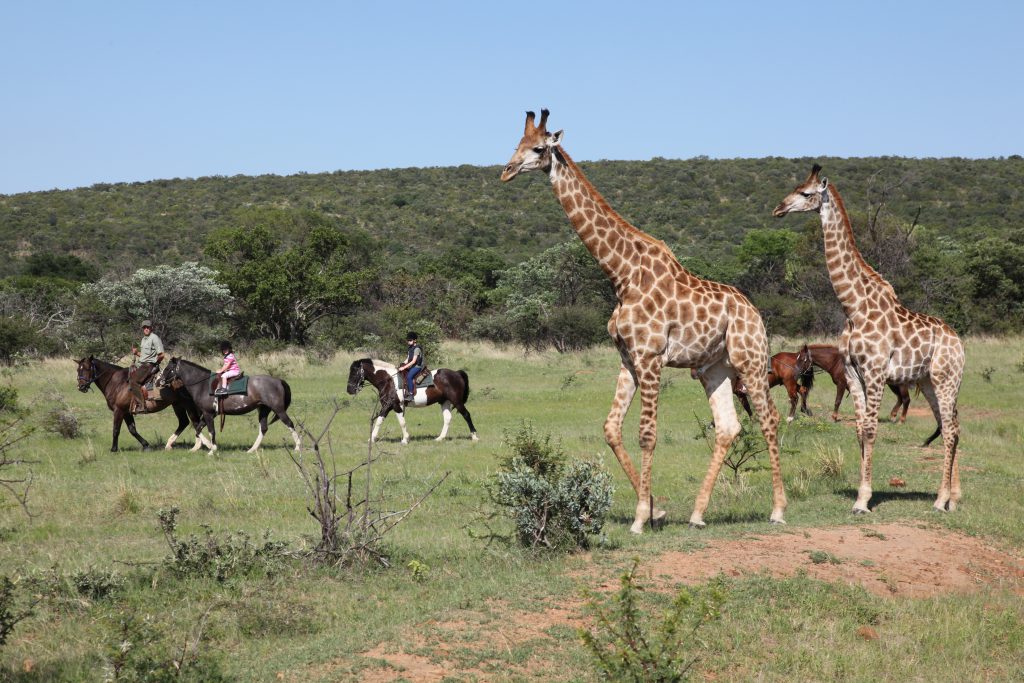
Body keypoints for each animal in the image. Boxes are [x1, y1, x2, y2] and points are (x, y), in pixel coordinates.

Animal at [501, 109, 786, 532]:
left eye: (537, 149)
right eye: (515, 144)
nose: (505, 171)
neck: (622, 274)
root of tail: (754, 311)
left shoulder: (651, 357)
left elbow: (647, 434)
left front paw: (640, 518)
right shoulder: (627, 359)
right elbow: (610, 429)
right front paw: (657, 509)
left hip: (749, 359)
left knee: (770, 418)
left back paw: (778, 509)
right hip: (713, 368)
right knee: (728, 426)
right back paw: (697, 515)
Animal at [773, 165, 965, 513]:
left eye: (806, 193)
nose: (778, 209)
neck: (854, 306)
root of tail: (959, 343)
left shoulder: (875, 371)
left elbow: (873, 429)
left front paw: (864, 500)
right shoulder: (852, 372)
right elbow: (860, 429)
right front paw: (861, 494)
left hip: (947, 379)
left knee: (950, 430)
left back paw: (941, 499)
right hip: (930, 382)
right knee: (950, 427)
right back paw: (951, 499)